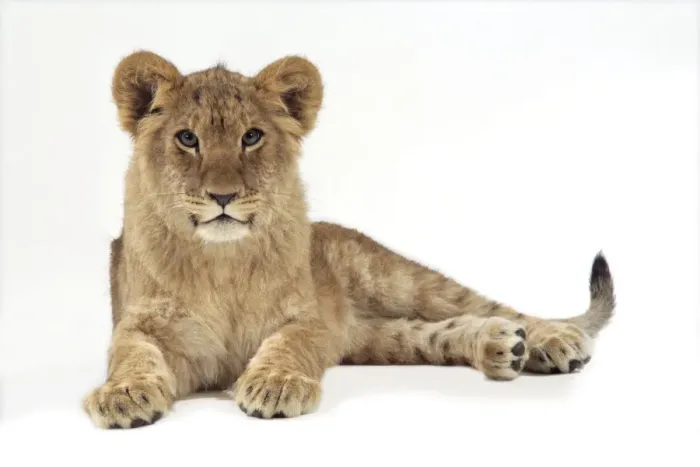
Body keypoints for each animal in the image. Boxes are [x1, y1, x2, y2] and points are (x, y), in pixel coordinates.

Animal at [83, 51, 616, 428]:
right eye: (187, 139)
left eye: (251, 137)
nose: (223, 196)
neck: (222, 262)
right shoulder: (142, 325)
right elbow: (130, 354)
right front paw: (123, 395)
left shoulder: (310, 319)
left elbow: (287, 344)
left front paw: (275, 384)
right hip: (377, 339)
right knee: (432, 334)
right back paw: (502, 347)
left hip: (394, 280)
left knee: (490, 306)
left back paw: (553, 340)